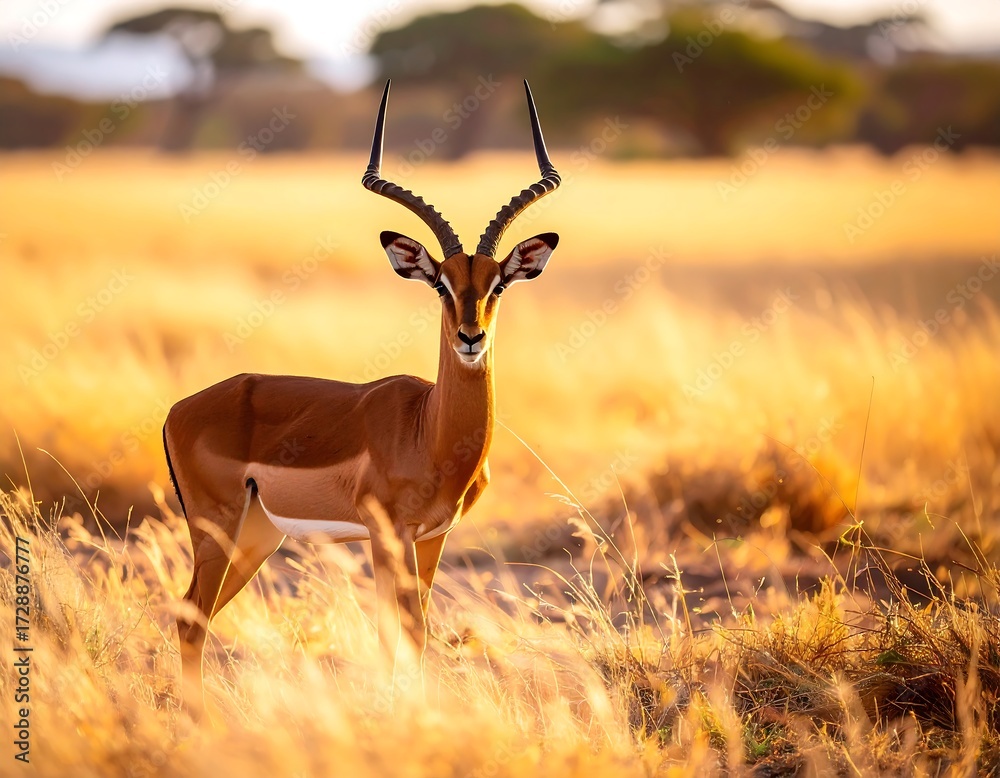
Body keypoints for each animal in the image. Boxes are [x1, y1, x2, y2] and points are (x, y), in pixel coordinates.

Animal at [163, 79, 561, 710]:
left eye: (498, 284)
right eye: (440, 284)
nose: (471, 337)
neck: (430, 433)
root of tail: (180, 409)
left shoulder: (432, 538)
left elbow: (419, 632)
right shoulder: (385, 534)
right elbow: (394, 633)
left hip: (257, 537)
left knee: (194, 615)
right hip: (216, 529)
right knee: (189, 618)